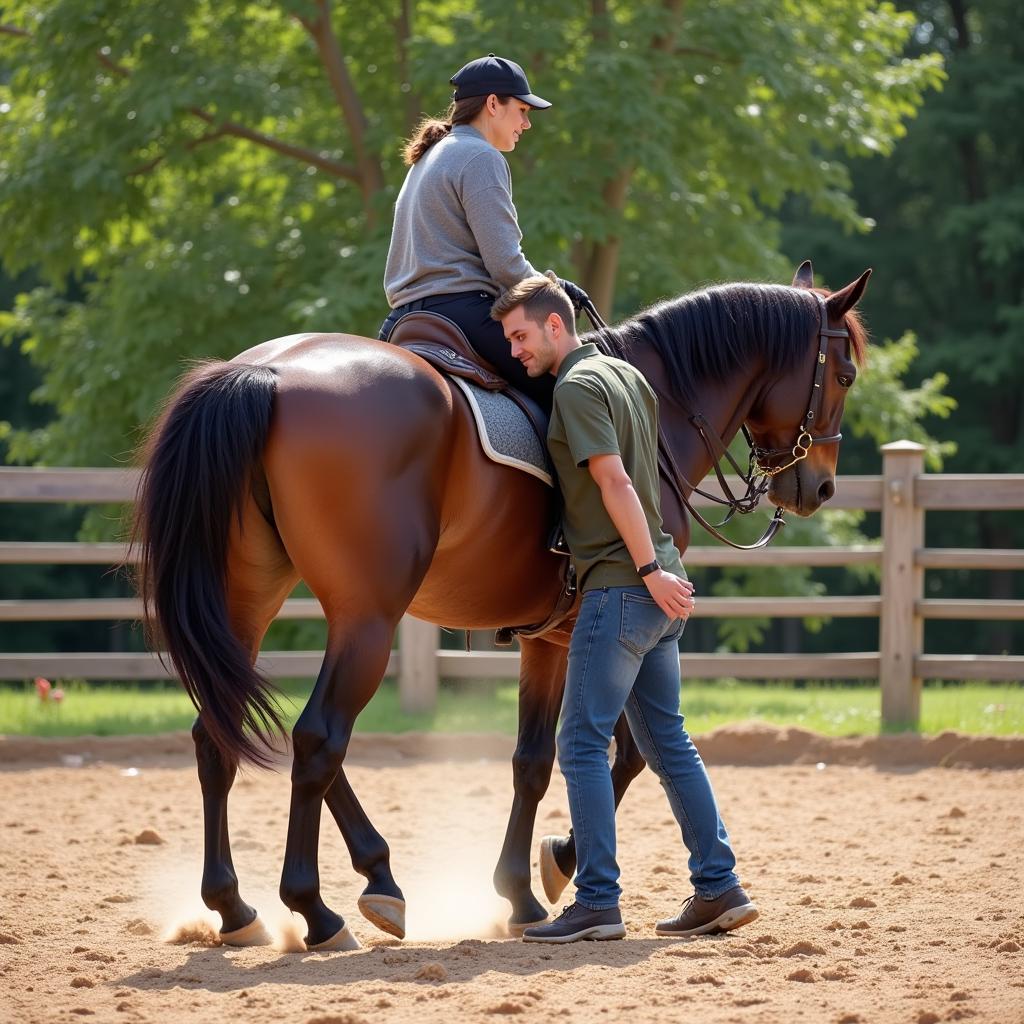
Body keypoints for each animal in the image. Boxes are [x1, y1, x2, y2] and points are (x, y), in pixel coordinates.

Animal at [132, 260, 868, 946]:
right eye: (845, 375)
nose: (821, 487)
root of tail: (267, 373)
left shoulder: (551, 636)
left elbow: (538, 760)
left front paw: (524, 888)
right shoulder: (593, 629)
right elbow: (603, 755)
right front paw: (555, 866)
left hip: (252, 599)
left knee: (223, 734)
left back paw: (254, 903)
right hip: (368, 616)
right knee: (318, 738)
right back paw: (317, 909)